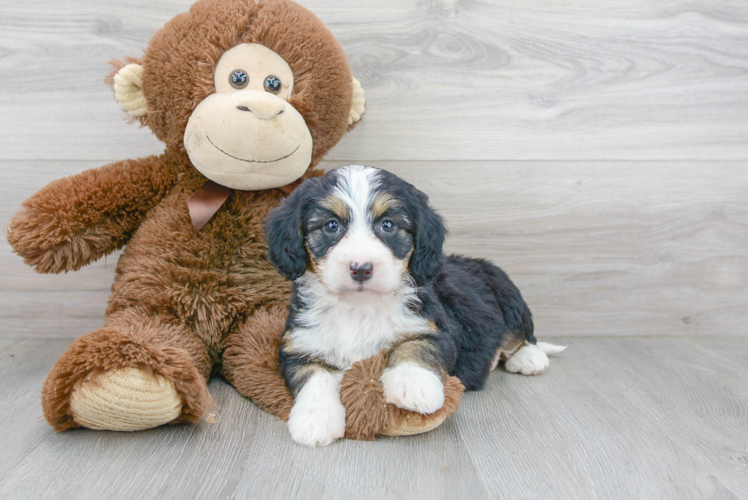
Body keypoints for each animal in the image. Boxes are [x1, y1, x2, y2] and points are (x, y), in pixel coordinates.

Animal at [266, 166, 564, 448]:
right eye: (331, 226)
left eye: (388, 225)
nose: (361, 268)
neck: (360, 308)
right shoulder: (300, 344)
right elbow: (313, 376)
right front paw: (315, 419)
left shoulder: (436, 327)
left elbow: (416, 345)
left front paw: (414, 384)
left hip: (507, 293)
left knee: (522, 335)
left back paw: (528, 358)